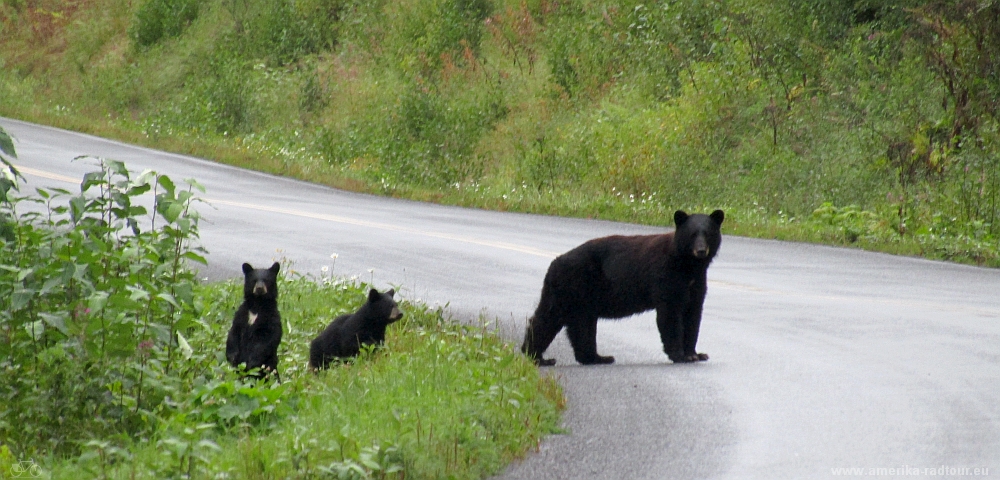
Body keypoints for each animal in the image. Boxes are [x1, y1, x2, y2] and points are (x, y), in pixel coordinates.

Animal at [520, 208, 724, 366]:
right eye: (692, 234)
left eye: (708, 233)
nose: (700, 250)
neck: (687, 266)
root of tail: (555, 262)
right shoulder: (666, 277)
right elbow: (670, 314)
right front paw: (680, 355)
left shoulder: (696, 283)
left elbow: (693, 315)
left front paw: (696, 353)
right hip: (574, 288)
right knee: (556, 320)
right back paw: (540, 357)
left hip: (574, 296)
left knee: (570, 323)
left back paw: (594, 357)